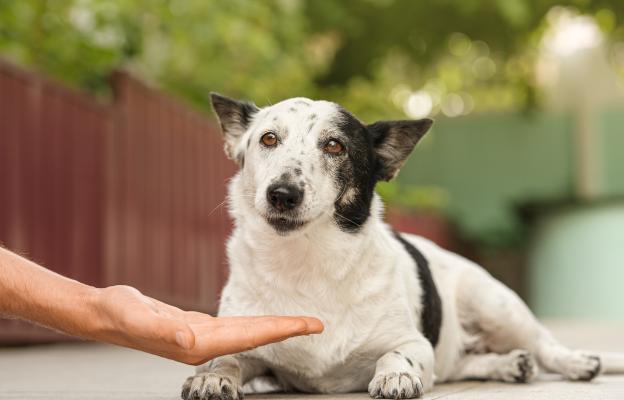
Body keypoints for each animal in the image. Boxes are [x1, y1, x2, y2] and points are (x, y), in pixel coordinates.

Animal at [179, 94, 620, 400]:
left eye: (335, 146)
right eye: (268, 139)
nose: (282, 194)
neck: (307, 261)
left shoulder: (413, 343)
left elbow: (395, 355)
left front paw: (396, 374)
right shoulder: (247, 346)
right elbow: (226, 356)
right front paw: (211, 376)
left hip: (494, 304)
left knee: (545, 346)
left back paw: (578, 362)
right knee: (464, 364)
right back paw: (508, 364)